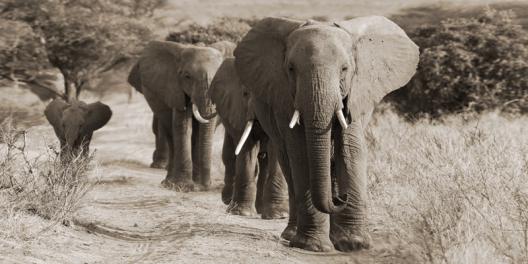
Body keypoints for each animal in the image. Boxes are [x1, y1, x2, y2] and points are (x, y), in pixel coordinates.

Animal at [128, 40, 235, 191]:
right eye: (187, 77)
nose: (206, 186)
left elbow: (201, 131)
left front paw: (197, 186)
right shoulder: (175, 90)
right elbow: (183, 127)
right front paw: (183, 187)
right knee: (171, 133)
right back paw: (168, 183)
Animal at [208, 58, 288, 220]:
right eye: (245, 93)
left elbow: (275, 149)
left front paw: (278, 215)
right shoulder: (238, 109)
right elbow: (246, 149)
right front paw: (240, 213)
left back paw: (261, 210)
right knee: (230, 154)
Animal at [233, 16, 418, 252]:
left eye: (345, 69)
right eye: (291, 69)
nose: (341, 198)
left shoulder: (355, 94)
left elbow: (350, 149)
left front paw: (353, 244)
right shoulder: (284, 97)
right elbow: (302, 154)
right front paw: (313, 246)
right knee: (288, 164)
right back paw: (292, 235)